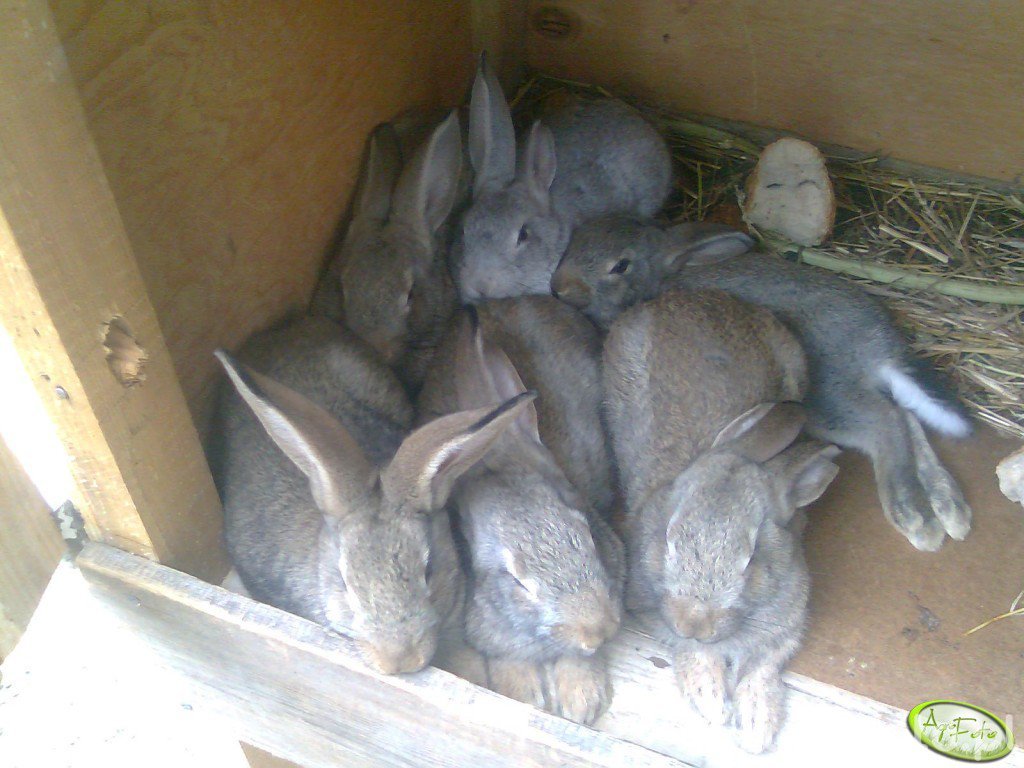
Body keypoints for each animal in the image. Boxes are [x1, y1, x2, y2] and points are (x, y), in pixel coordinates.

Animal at [552, 214, 973, 552]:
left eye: (620, 265)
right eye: (573, 239)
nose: (559, 288)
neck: (660, 279)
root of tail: (881, 349)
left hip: (825, 395)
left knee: (886, 423)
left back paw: (914, 516)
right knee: (906, 417)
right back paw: (950, 509)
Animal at [602, 288, 841, 752]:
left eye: (751, 559)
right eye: (669, 539)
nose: (694, 623)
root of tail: (691, 295)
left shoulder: (784, 627)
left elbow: (762, 667)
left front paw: (757, 726)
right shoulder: (650, 610)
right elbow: (692, 652)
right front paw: (713, 703)